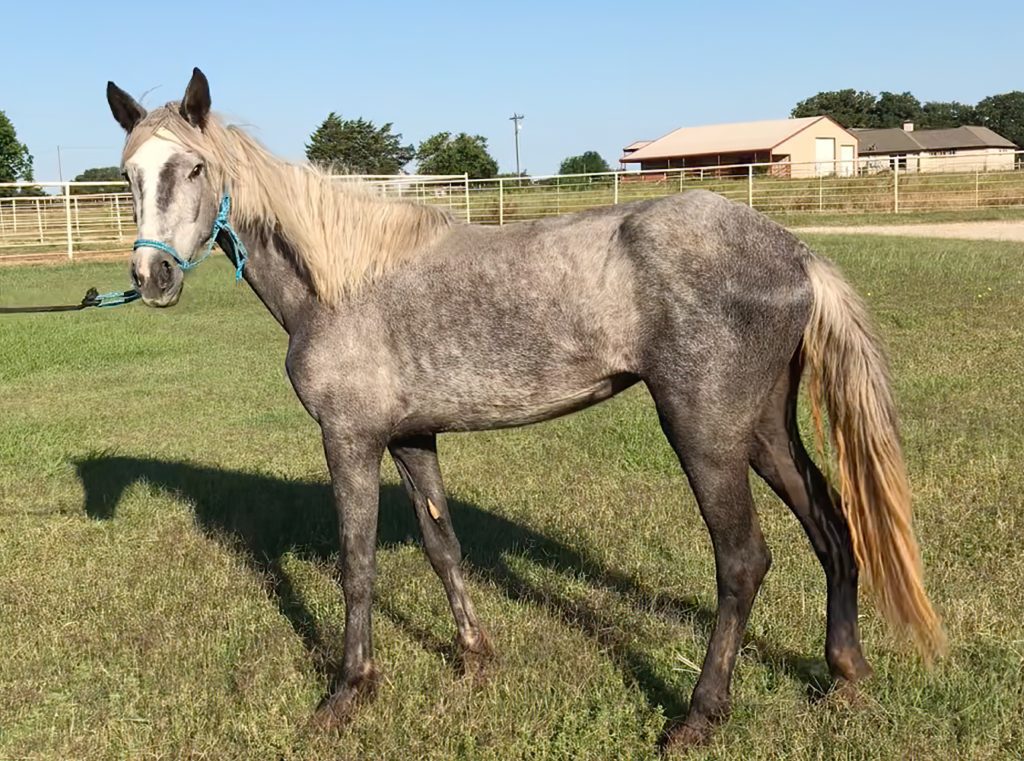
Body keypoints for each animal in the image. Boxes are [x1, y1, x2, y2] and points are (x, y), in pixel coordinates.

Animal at [103, 70, 942, 749]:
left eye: (193, 166)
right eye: (128, 175)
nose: (150, 279)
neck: (343, 281)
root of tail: (796, 252)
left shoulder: (350, 440)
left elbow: (357, 564)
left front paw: (346, 693)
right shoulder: (412, 438)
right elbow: (443, 547)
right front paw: (476, 660)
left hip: (704, 432)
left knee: (743, 561)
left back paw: (699, 715)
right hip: (763, 429)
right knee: (834, 528)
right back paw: (845, 675)